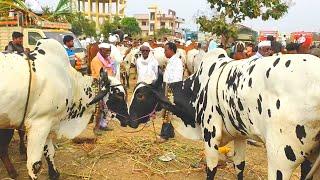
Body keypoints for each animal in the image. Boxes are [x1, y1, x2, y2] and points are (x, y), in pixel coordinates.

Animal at [0, 39, 129, 179]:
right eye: (118, 94)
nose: (128, 119)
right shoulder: (38, 123)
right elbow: (35, 165)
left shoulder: (48, 123)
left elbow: (50, 152)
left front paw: (54, 174)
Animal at [127, 48, 320, 180]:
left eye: (141, 95)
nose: (129, 119)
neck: (197, 88)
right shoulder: (240, 135)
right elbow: (239, 166)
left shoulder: (210, 135)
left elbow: (211, 170)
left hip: (280, 160)